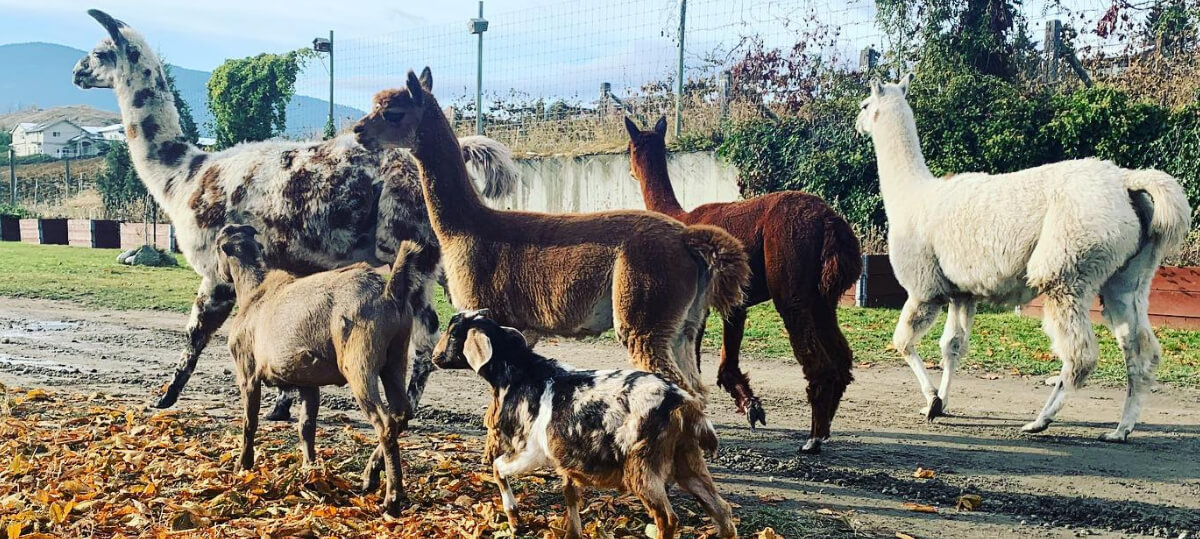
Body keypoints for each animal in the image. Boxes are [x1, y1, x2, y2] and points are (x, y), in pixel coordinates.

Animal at [427, 309, 734, 535]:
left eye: (453, 334)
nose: (434, 356)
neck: (521, 375)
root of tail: (681, 402)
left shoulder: (531, 451)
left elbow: (498, 466)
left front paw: (515, 521)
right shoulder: (566, 457)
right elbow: (570, 494)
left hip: (644, 464)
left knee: (668, 519)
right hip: (686, 459)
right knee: (721, 510)